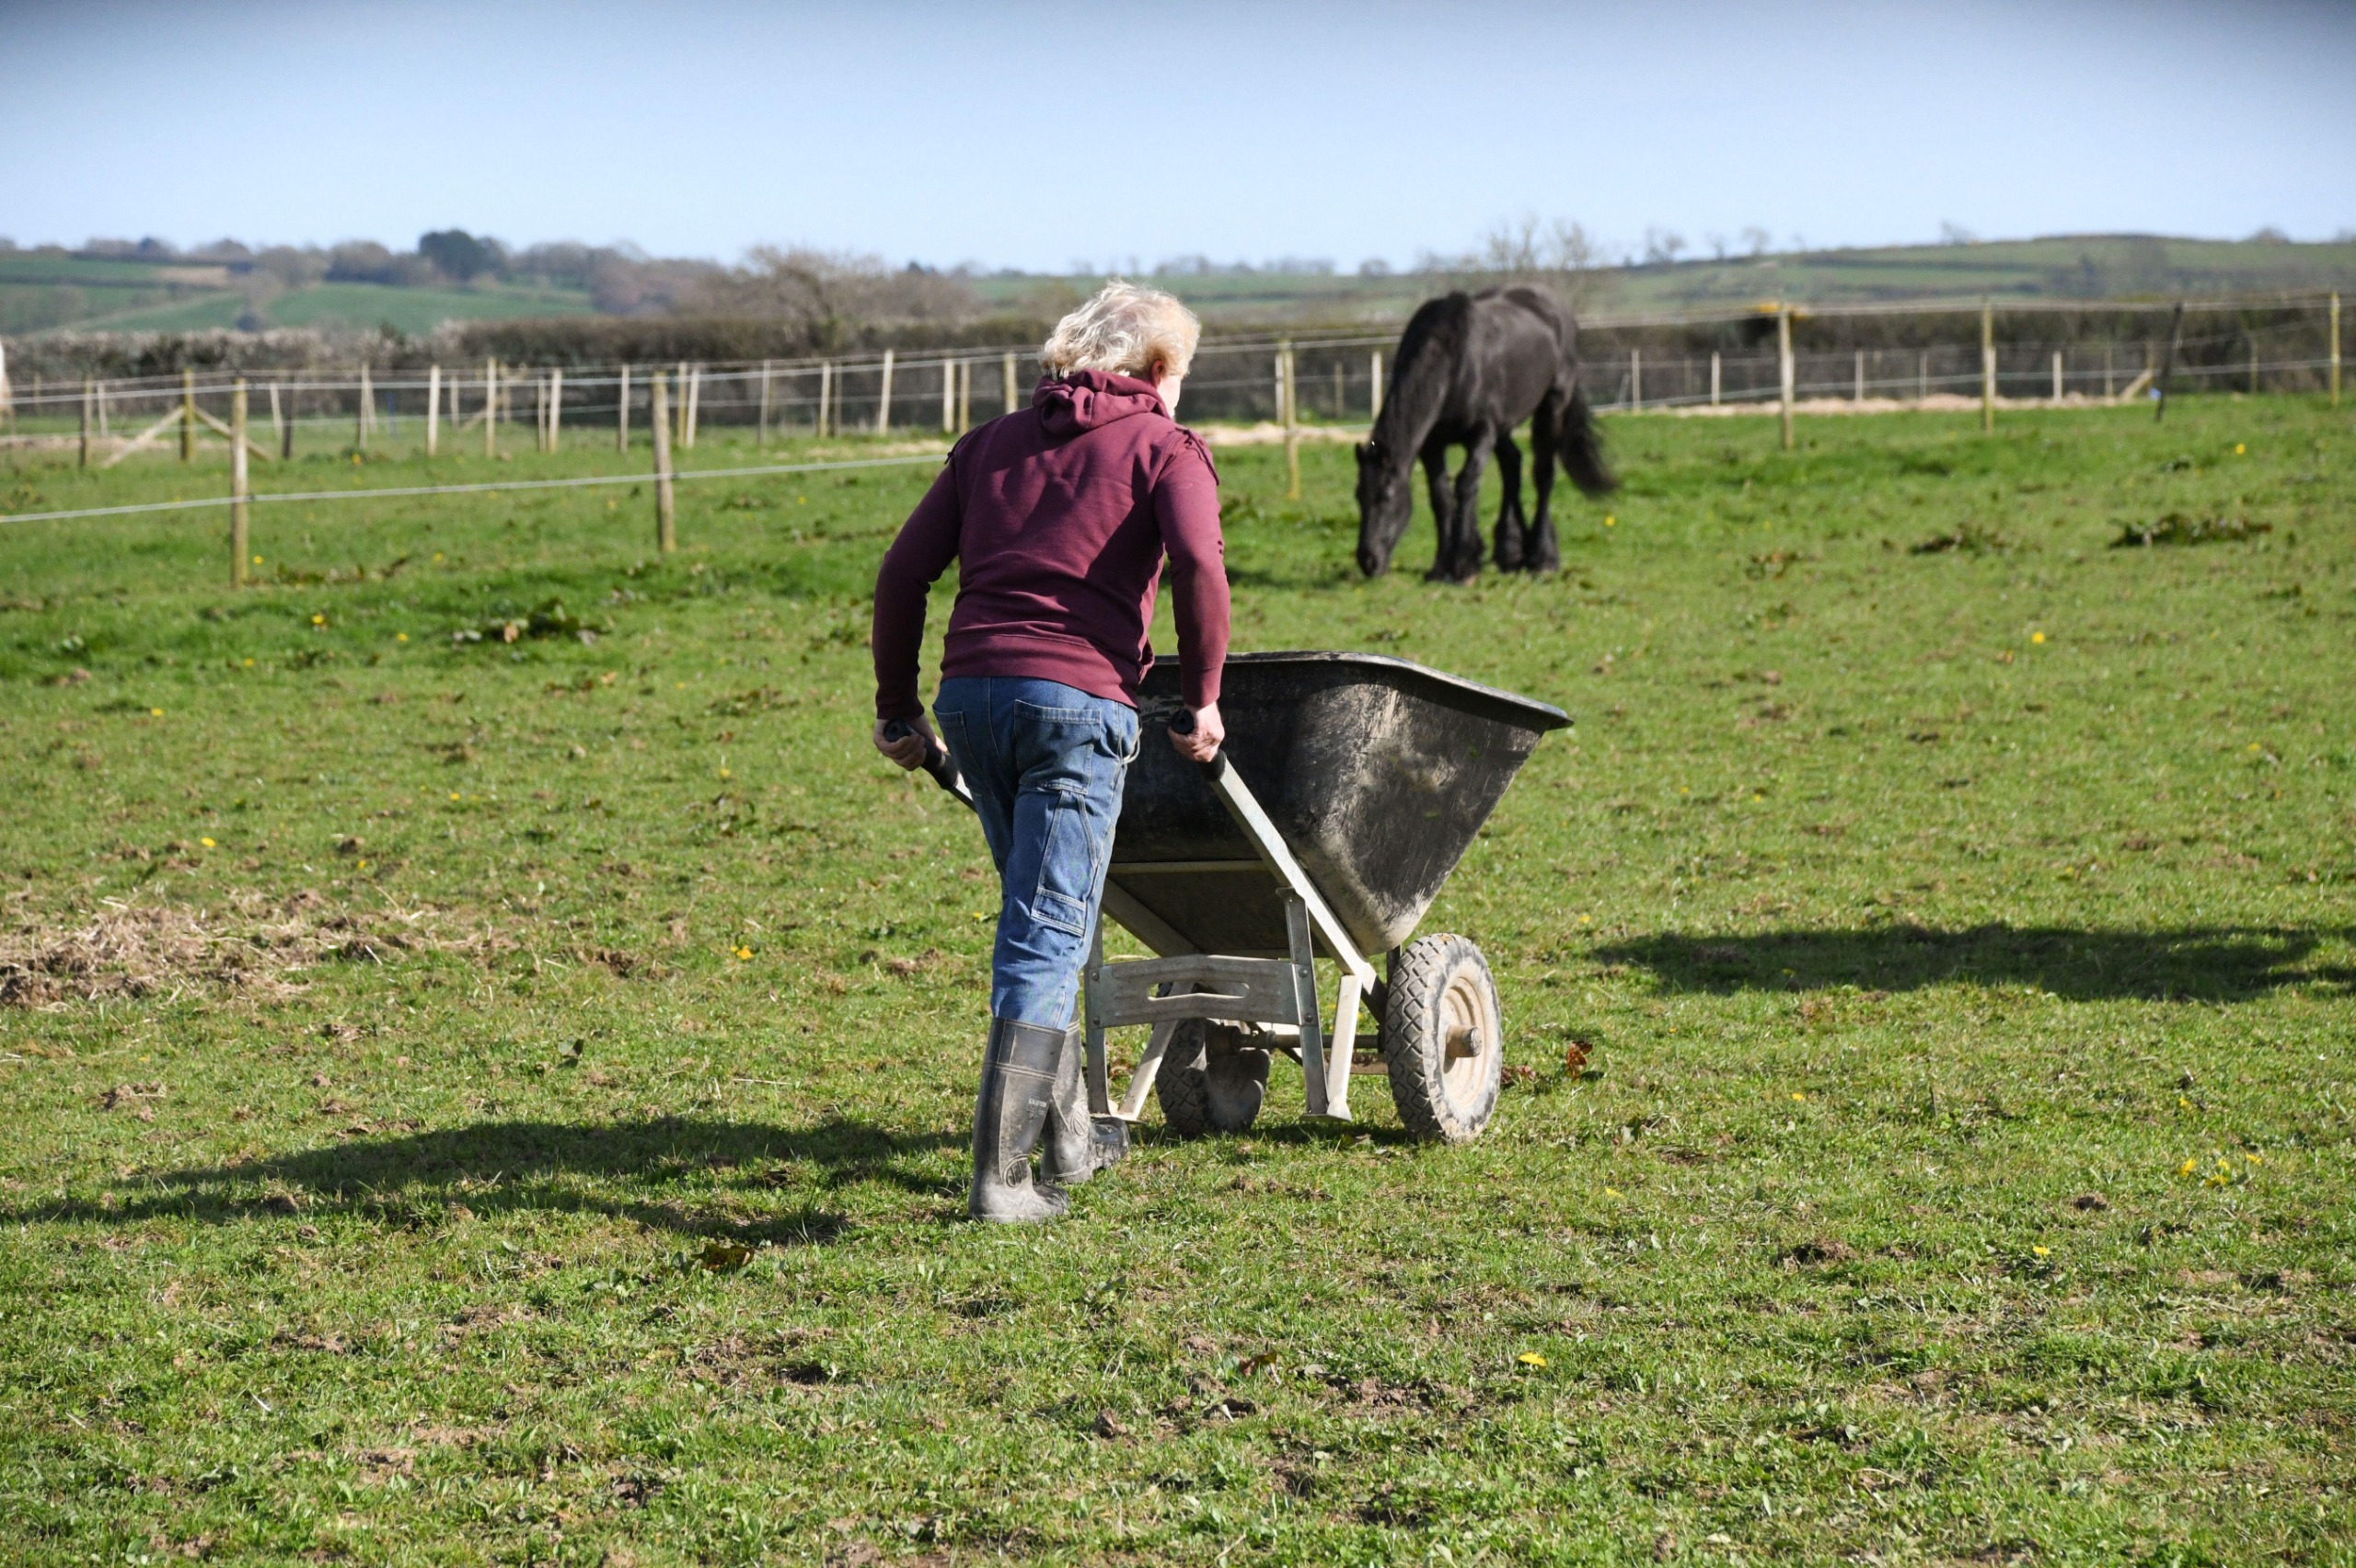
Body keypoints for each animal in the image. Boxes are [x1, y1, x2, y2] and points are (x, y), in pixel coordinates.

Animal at [1354, 284, 1616, 582]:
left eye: (1386, 496)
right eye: (1358, 496)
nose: (1368, 561)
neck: (1455, 361)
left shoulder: (1482, 434)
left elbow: (1467, 484)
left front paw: (1463, 564)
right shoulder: (1432, 444)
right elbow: (1440, 496)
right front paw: (1442, 565)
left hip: (1552, 407)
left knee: (1543, 475)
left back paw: (1541, 556)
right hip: (1505, 427)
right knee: (1512, 465)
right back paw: (1511, 552)